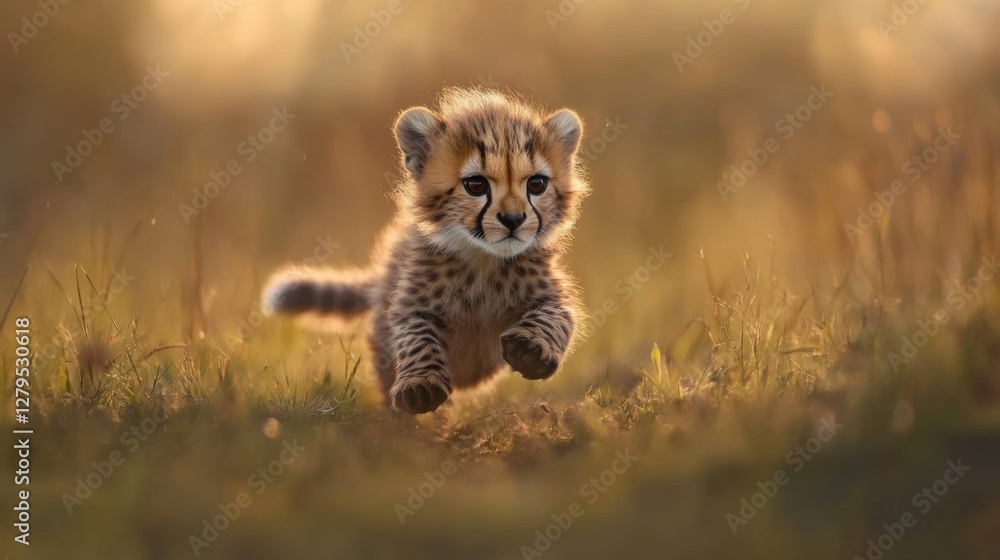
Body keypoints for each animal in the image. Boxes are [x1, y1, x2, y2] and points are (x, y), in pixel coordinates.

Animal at [262, 87, 590, 414]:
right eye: (475, 185)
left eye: (536, 184)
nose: (513, 219)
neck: (484, 259)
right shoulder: (411, 305)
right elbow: (418, 338)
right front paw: (421, 385)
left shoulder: (553, 295)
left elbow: (556, 317)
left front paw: (531, 348)